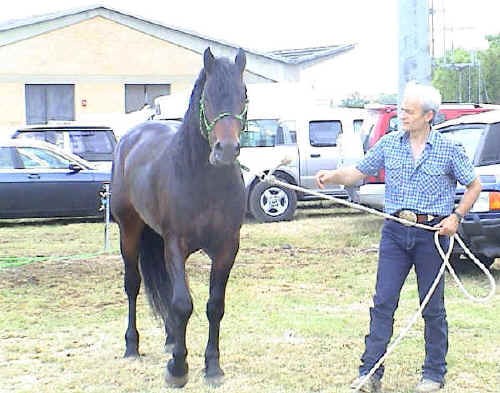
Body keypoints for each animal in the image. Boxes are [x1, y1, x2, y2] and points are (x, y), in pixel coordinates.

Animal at [111, 46, 248, 386]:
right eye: (207, 96)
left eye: (243, 94)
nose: (226, 150)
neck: (205, 182)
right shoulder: (176, 245)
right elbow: (182, 304)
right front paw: (178, 368)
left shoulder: (227, 248)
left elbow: (214, 305)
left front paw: (212, 366)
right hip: (128, 230)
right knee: (132, 284)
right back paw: (132, 346)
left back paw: (172, 338)